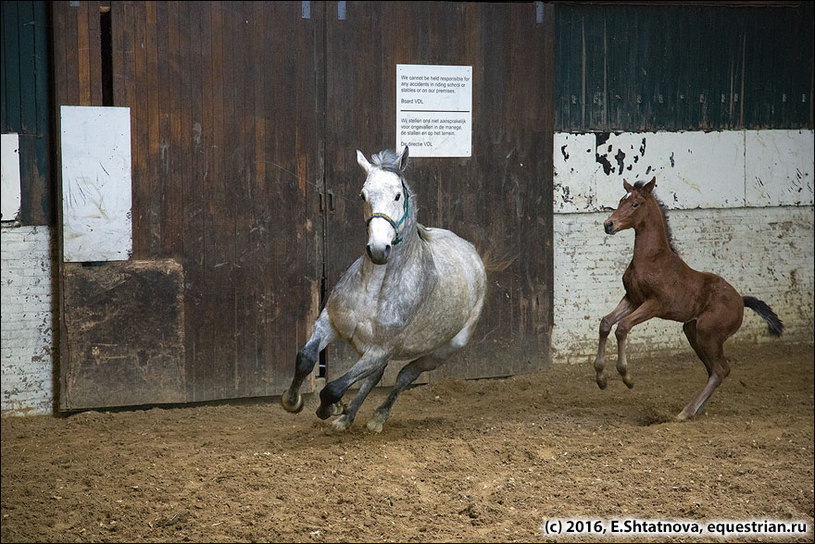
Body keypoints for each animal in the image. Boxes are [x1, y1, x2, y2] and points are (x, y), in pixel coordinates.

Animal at [280, 146, 488, 434]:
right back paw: (347, 418)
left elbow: (333, 387)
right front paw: (293, 401)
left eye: (398, 195)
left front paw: (330, 407)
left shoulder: (380, 349)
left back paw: (377, 417)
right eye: (363, 195)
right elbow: (305, 358)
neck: (374, 290)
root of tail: (471, 251)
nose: (379, 250)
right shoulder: (328, 323)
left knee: (404, 376)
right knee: (375, 376)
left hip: (443, 349)